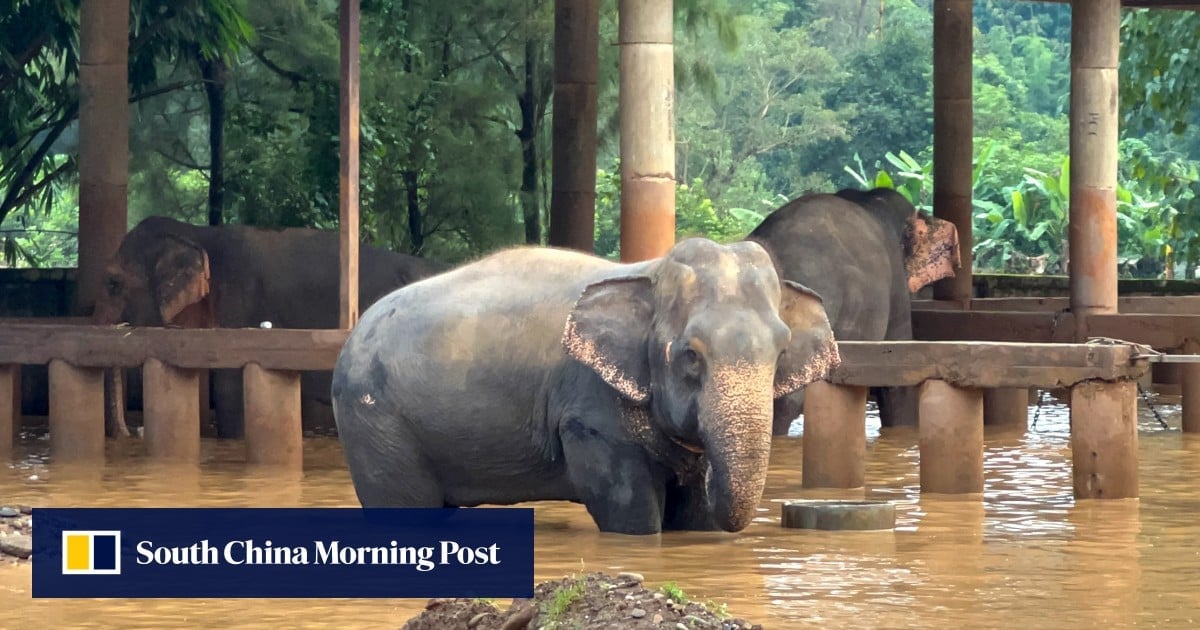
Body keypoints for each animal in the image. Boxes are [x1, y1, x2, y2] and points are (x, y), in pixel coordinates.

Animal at [326, 238, 835, 532]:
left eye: (781, 353)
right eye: (691, 355)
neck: (649, 271)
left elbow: (694, 517)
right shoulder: (588, 408)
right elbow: (629, 509)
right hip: (374, 421)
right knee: (404, 508)